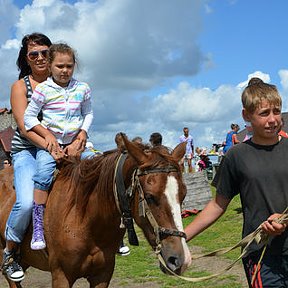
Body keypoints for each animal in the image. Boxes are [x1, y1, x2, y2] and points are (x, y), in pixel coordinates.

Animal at [0, 136, 191, 288]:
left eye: (183, 194)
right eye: (150, 197)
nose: (181, 260)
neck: (83, 218)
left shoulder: (102, 275)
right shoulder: (61, 276)